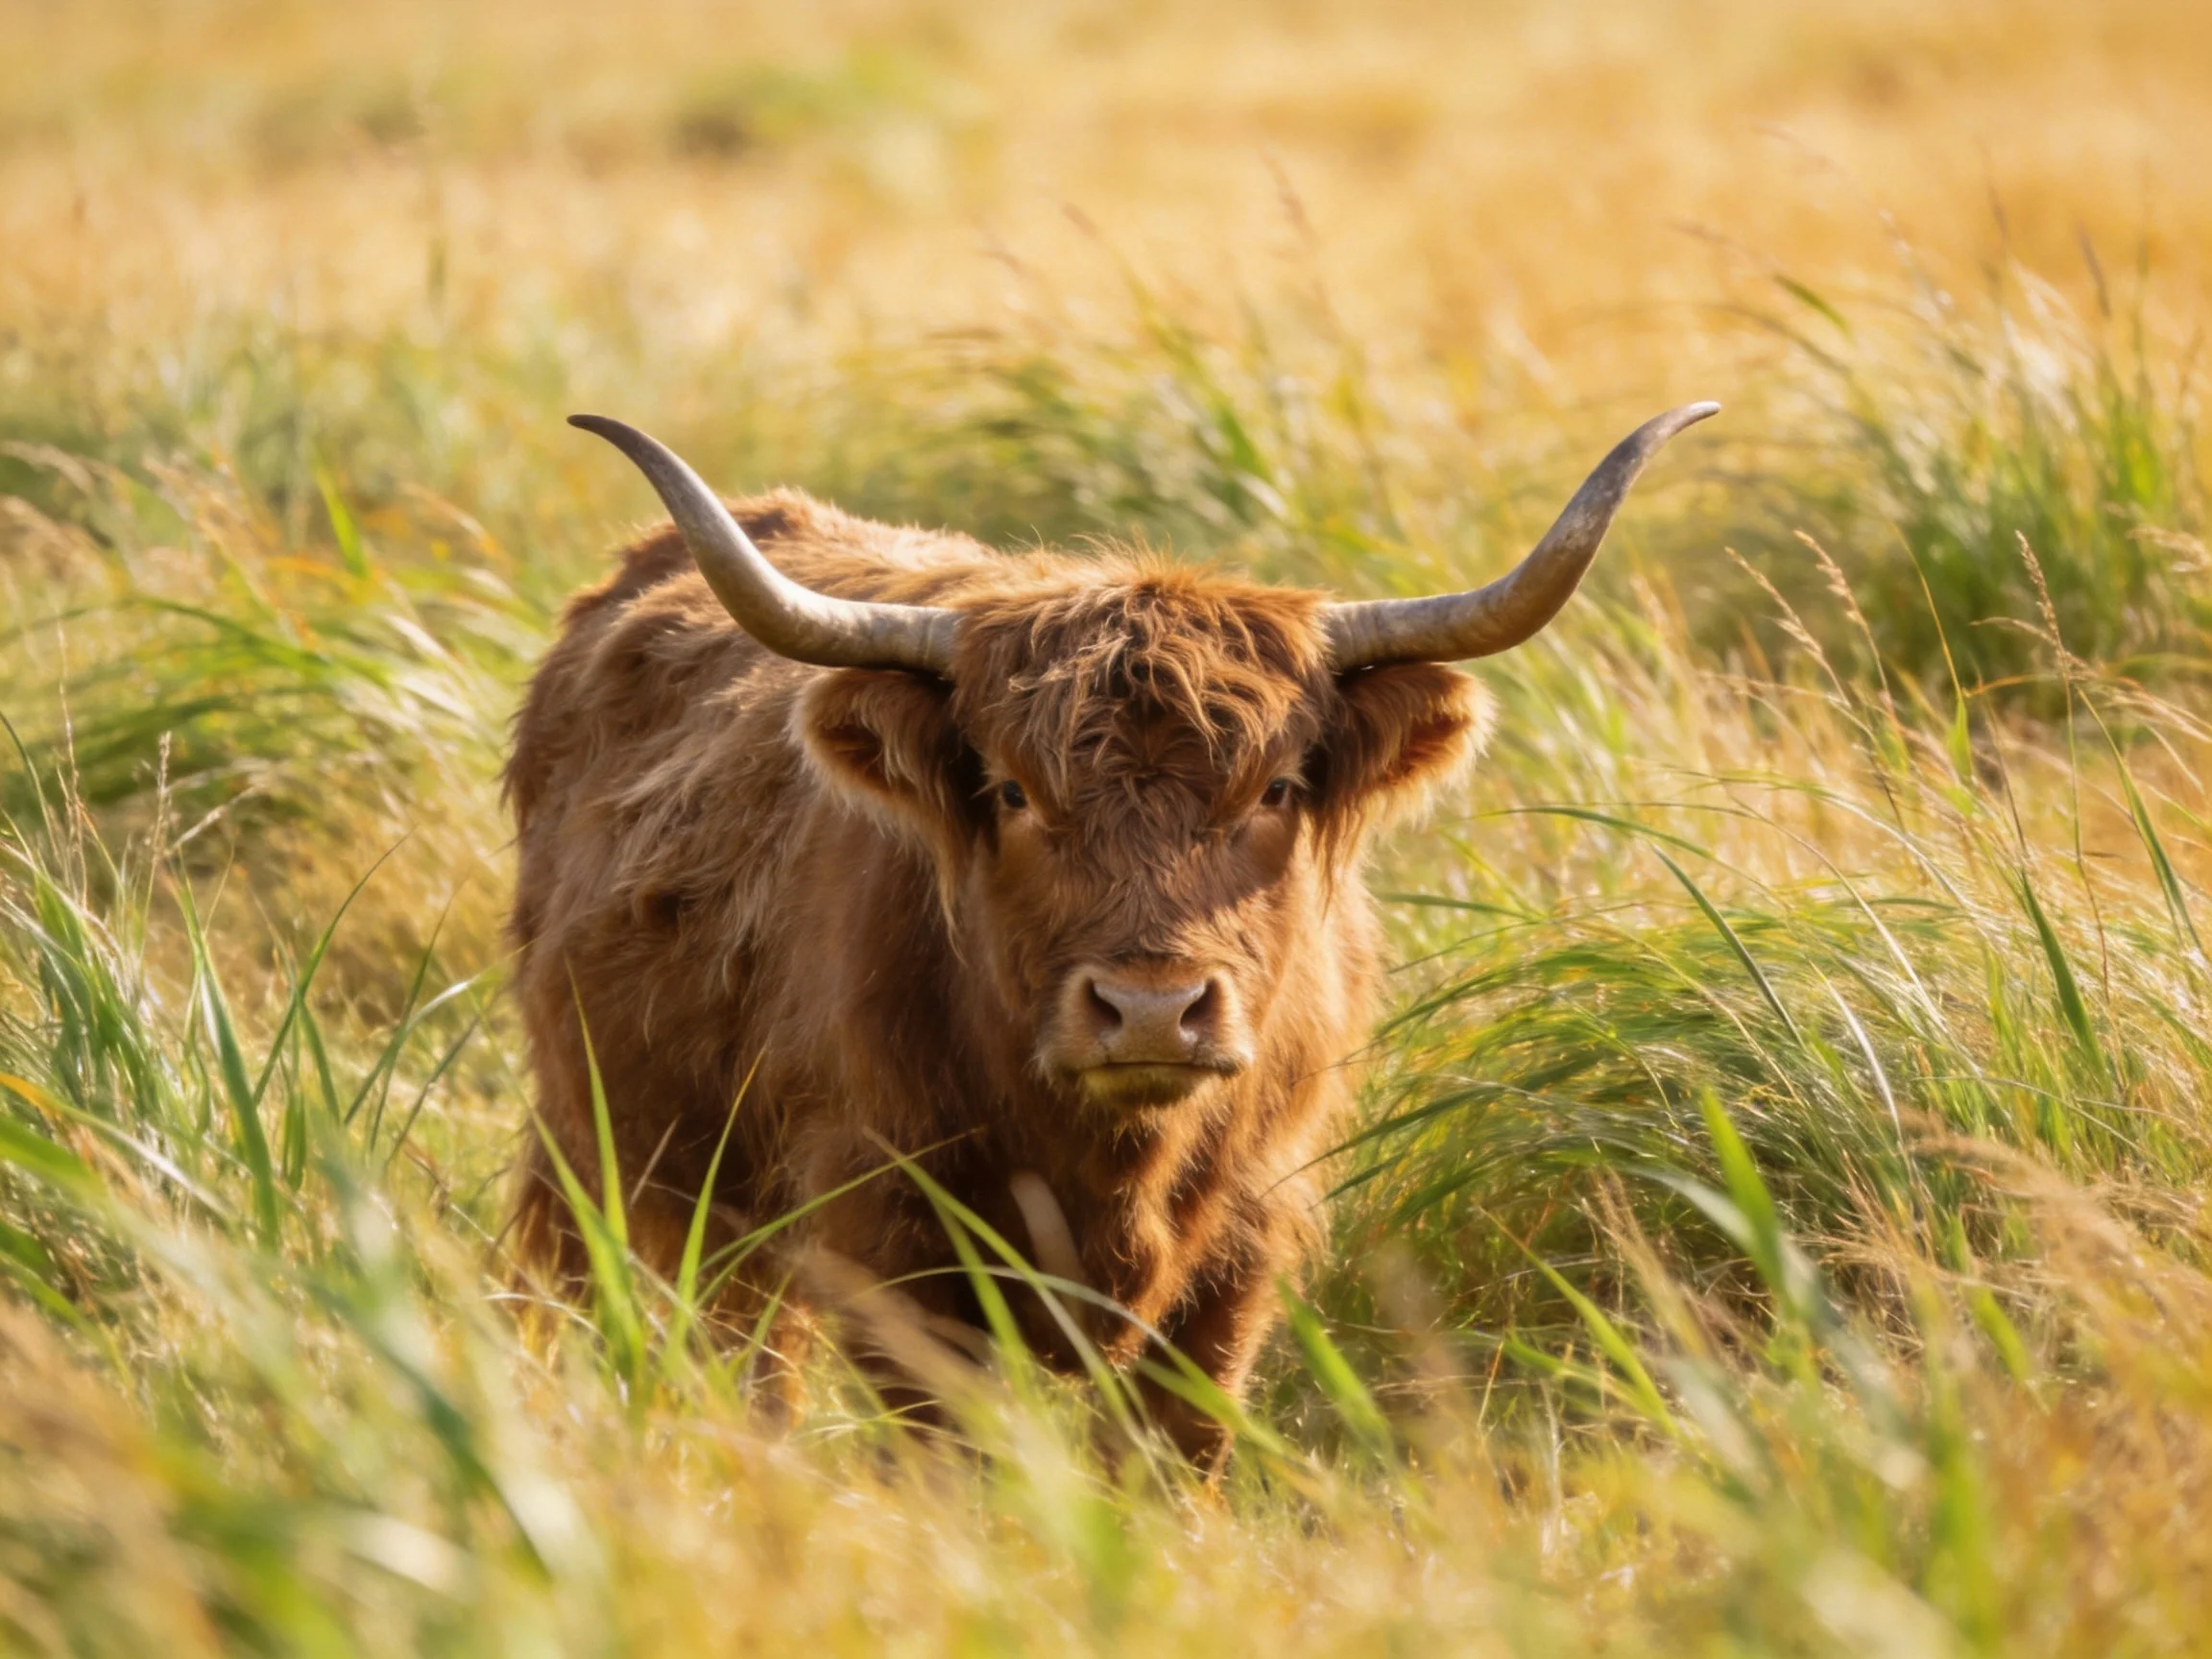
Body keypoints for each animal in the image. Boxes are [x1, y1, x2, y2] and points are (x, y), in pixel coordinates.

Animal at [505, 400, 1716, 1455]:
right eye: (1010, 791)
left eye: (1277, 788)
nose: (1150, 1010)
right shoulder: (884, 1233)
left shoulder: (1241, 1244)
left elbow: (1177, 1449)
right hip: (605, 1149)